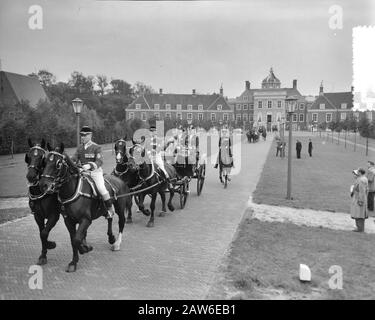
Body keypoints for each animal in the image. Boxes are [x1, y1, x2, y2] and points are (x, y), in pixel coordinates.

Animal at [39, 144, 132, 272]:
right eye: (45, 161)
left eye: (58, 163)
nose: (43, 185)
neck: (72, 190)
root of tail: (119, 180)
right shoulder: (69, 221)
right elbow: (73, 240)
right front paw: (73, 262)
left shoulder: (86, 220)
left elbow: (77, 239)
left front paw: (84, 249)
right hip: (105, 209)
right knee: (109, 217)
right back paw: (111, 237)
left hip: (120, 209)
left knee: (121, 222)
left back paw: (117, 243)